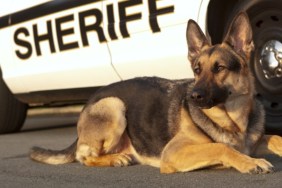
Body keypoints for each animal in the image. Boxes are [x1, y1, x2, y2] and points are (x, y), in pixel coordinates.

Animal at [29, 12, 282, 174]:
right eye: (197, 70)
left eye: (219, 68)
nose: (193, 97)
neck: (234, 122)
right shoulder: (173, 152)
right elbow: (220, 146)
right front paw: (250, 162)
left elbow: (275, 137)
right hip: (114, 105)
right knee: (84, 157)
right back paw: (115, 159)